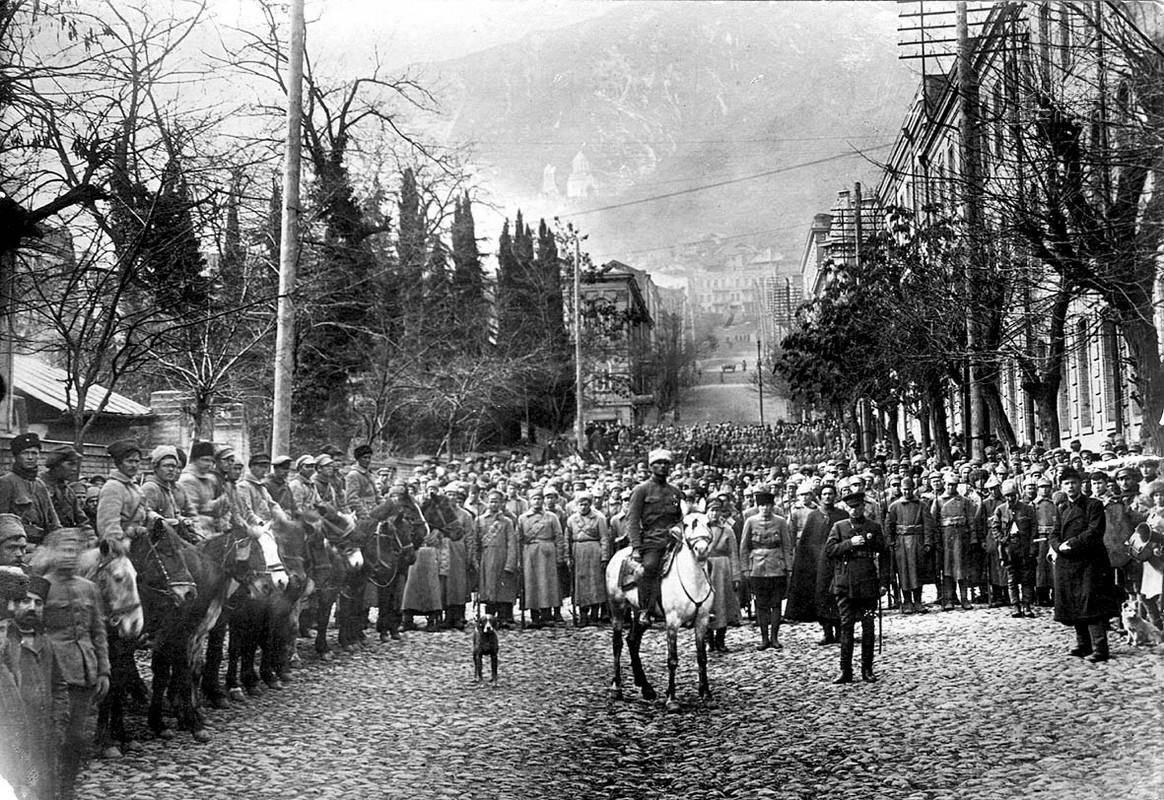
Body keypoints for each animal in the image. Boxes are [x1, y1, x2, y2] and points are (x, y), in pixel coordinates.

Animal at [605, 510, 712, 712]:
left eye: (709, 523)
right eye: (687, 525)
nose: (701, 549)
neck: (693, 579)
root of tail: (618, 555)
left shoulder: (702, 621)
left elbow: (702, 657)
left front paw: (706, 693)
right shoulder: (672, 622)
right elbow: (672, 659)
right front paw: (672, 699)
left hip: (639, 613)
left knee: (632, 641)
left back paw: (646, 687)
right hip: (617, 608)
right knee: (617, 644)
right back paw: (617, 688)